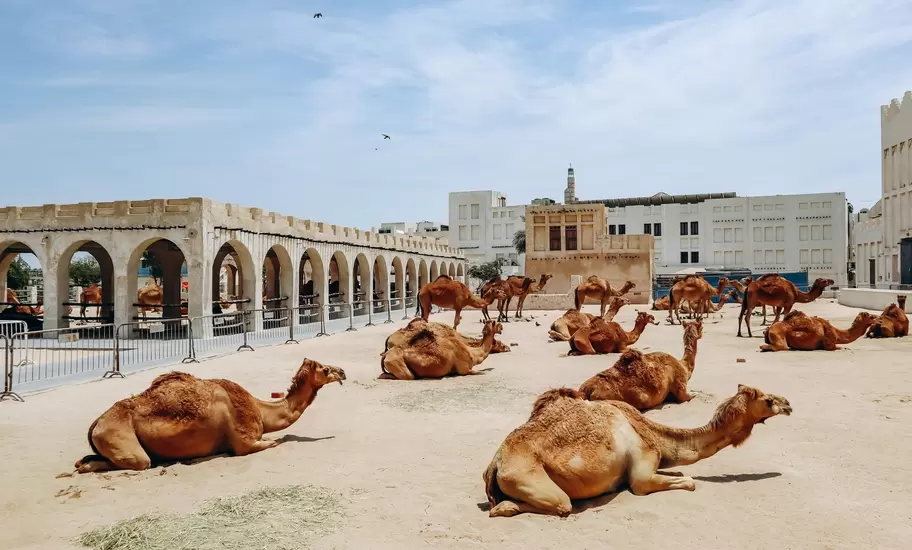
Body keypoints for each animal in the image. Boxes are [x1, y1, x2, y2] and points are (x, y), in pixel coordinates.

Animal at [74, 358, 345, 473]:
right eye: (324, 369)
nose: (342, 371)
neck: (260, 409)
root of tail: (96, 424)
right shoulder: (245, 441)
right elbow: (273, 442)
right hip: (125, 441)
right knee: (140, 462)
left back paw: (83, 462)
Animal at [482, 384, 792, 517]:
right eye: (768, 400)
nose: (788, 404)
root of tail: (495, 464)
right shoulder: (642, 470)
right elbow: (689, 482)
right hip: (529, 477)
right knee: (561, 504)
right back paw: (505, 507)